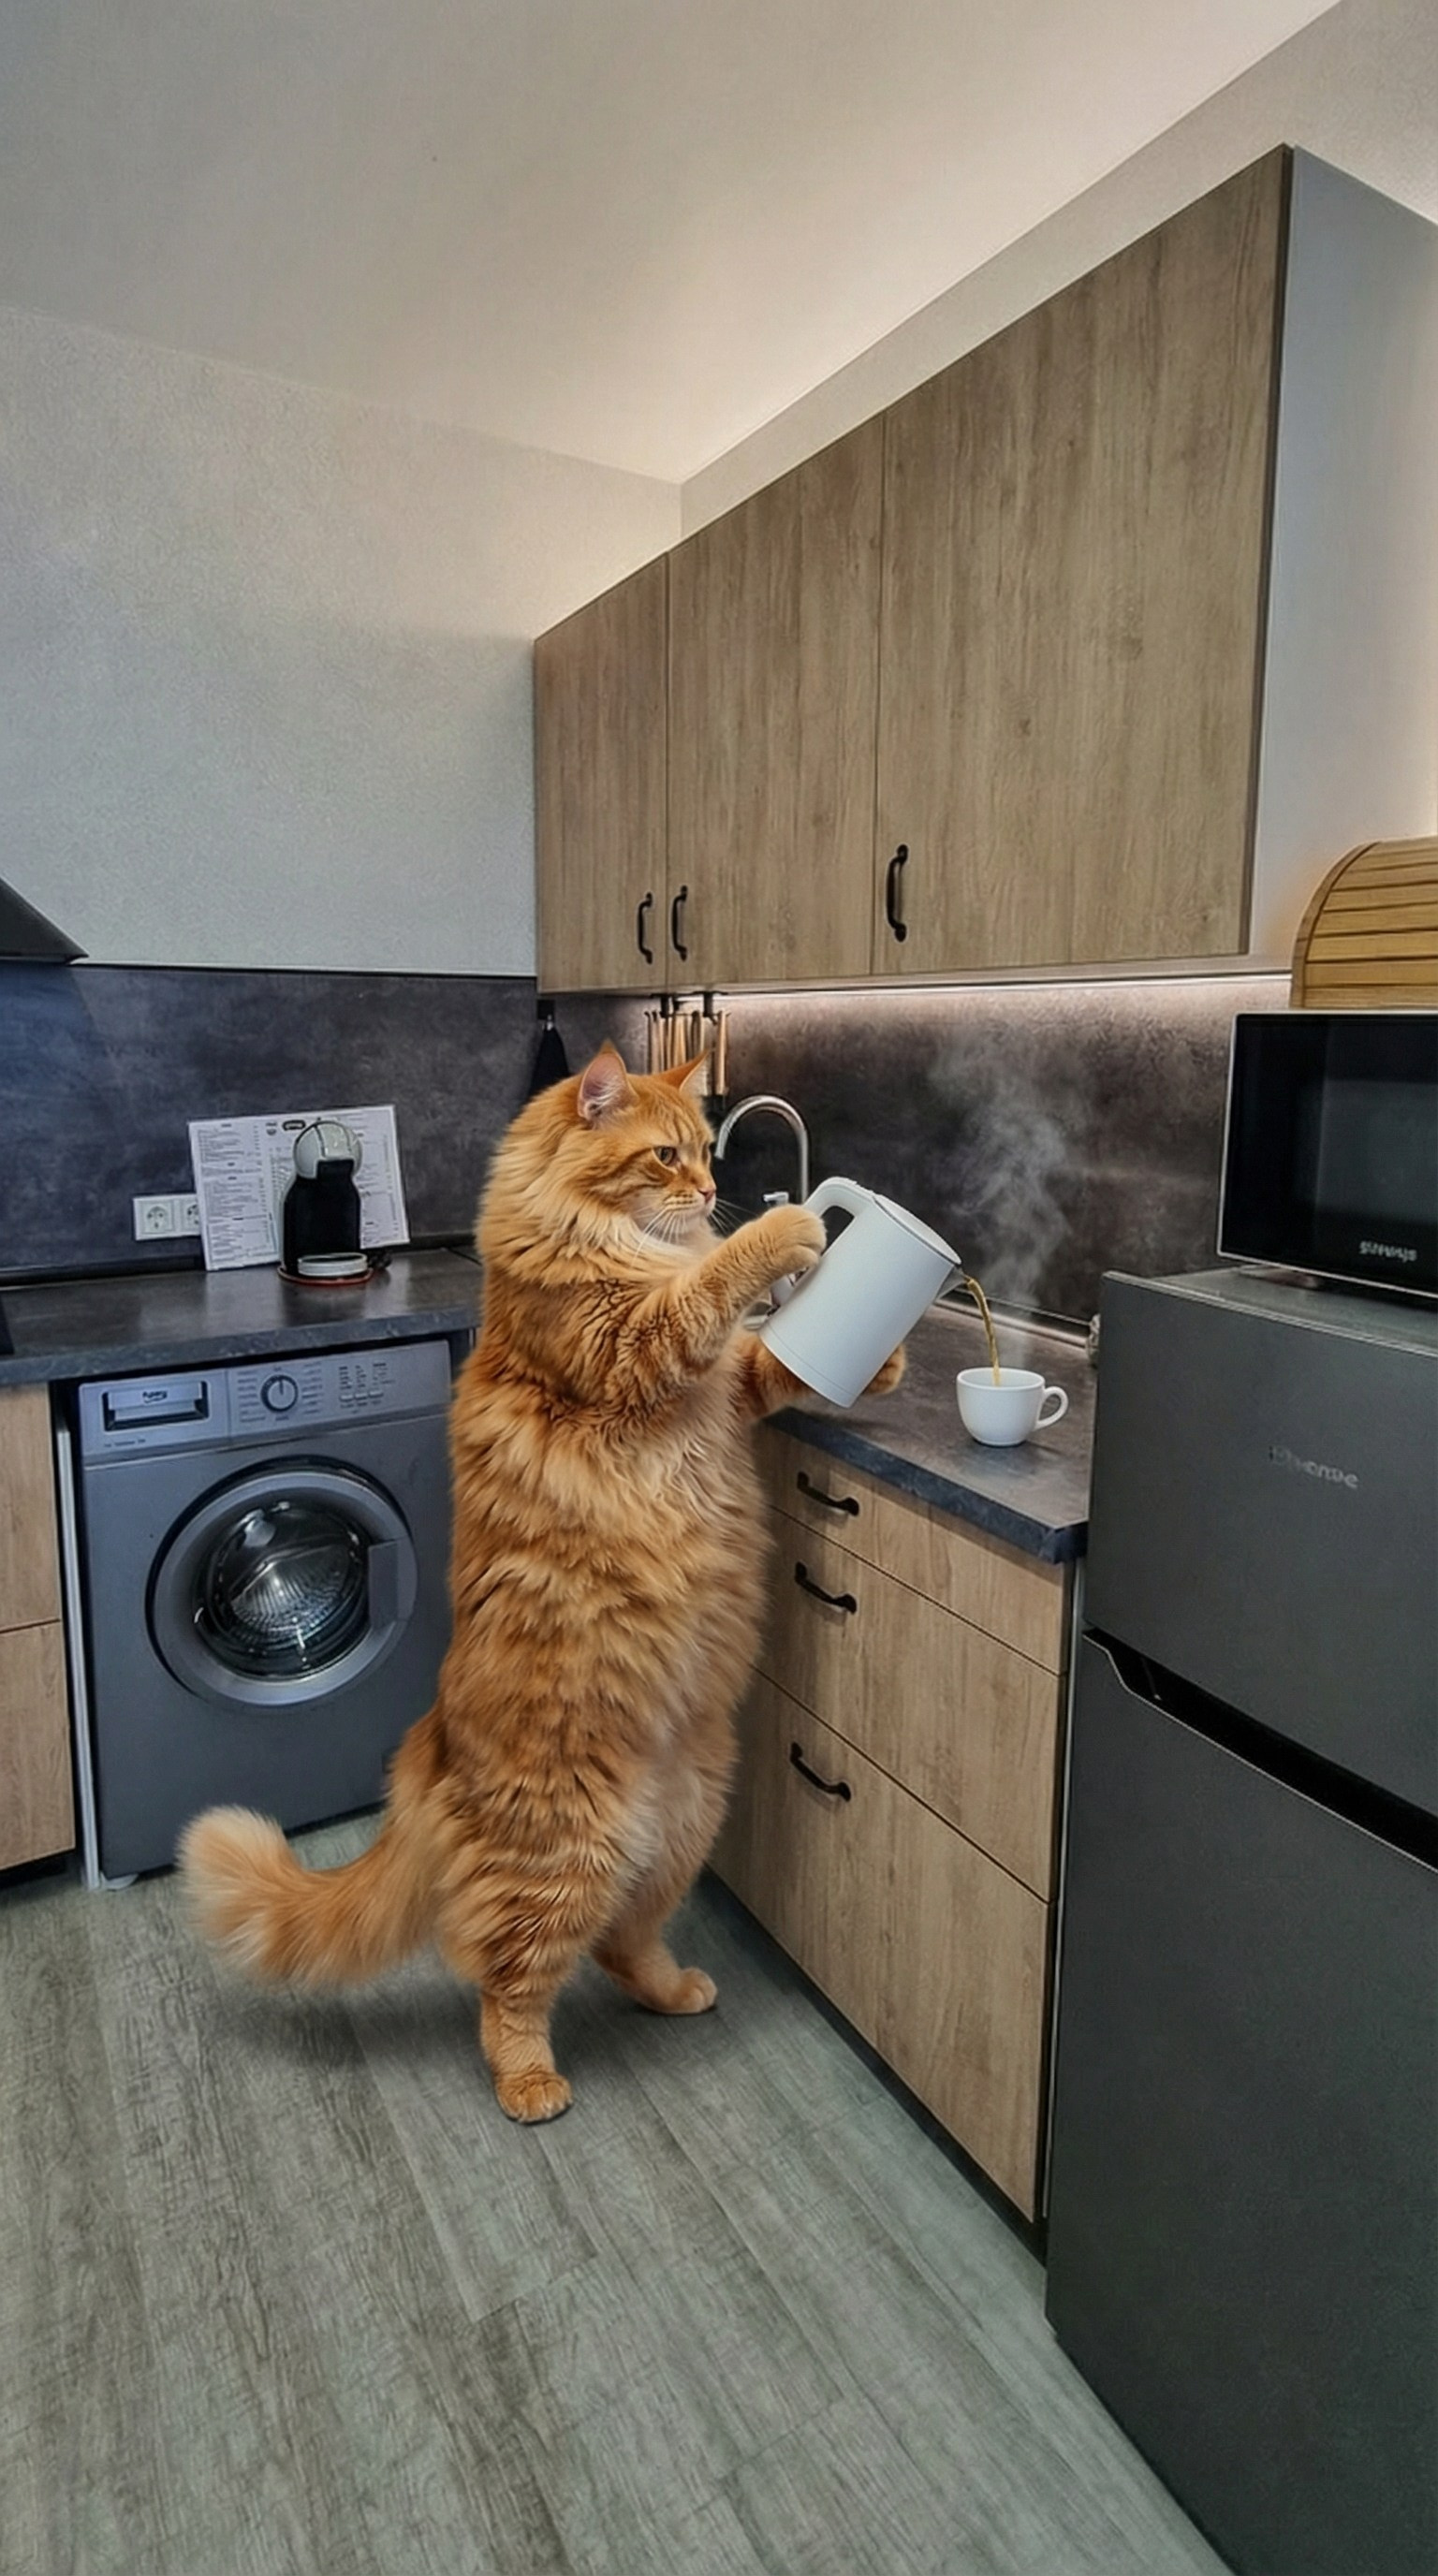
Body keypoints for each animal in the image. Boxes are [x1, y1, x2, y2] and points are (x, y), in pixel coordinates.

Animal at [180, 1045, 904, 2123]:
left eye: (703, 1153)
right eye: (665, 1157)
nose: (709, 1193)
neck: (605, 1243)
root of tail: (427, 1747)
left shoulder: (729, 1386)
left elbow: (769, 1359)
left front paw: (885, 1355)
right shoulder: (631, 1345)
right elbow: (710, 1285)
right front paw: (790, 1229)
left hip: (682, 1828)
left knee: (621, 1946)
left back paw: (678, 1992)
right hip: (567, 1858)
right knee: (507, 1984)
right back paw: (531, 2086)